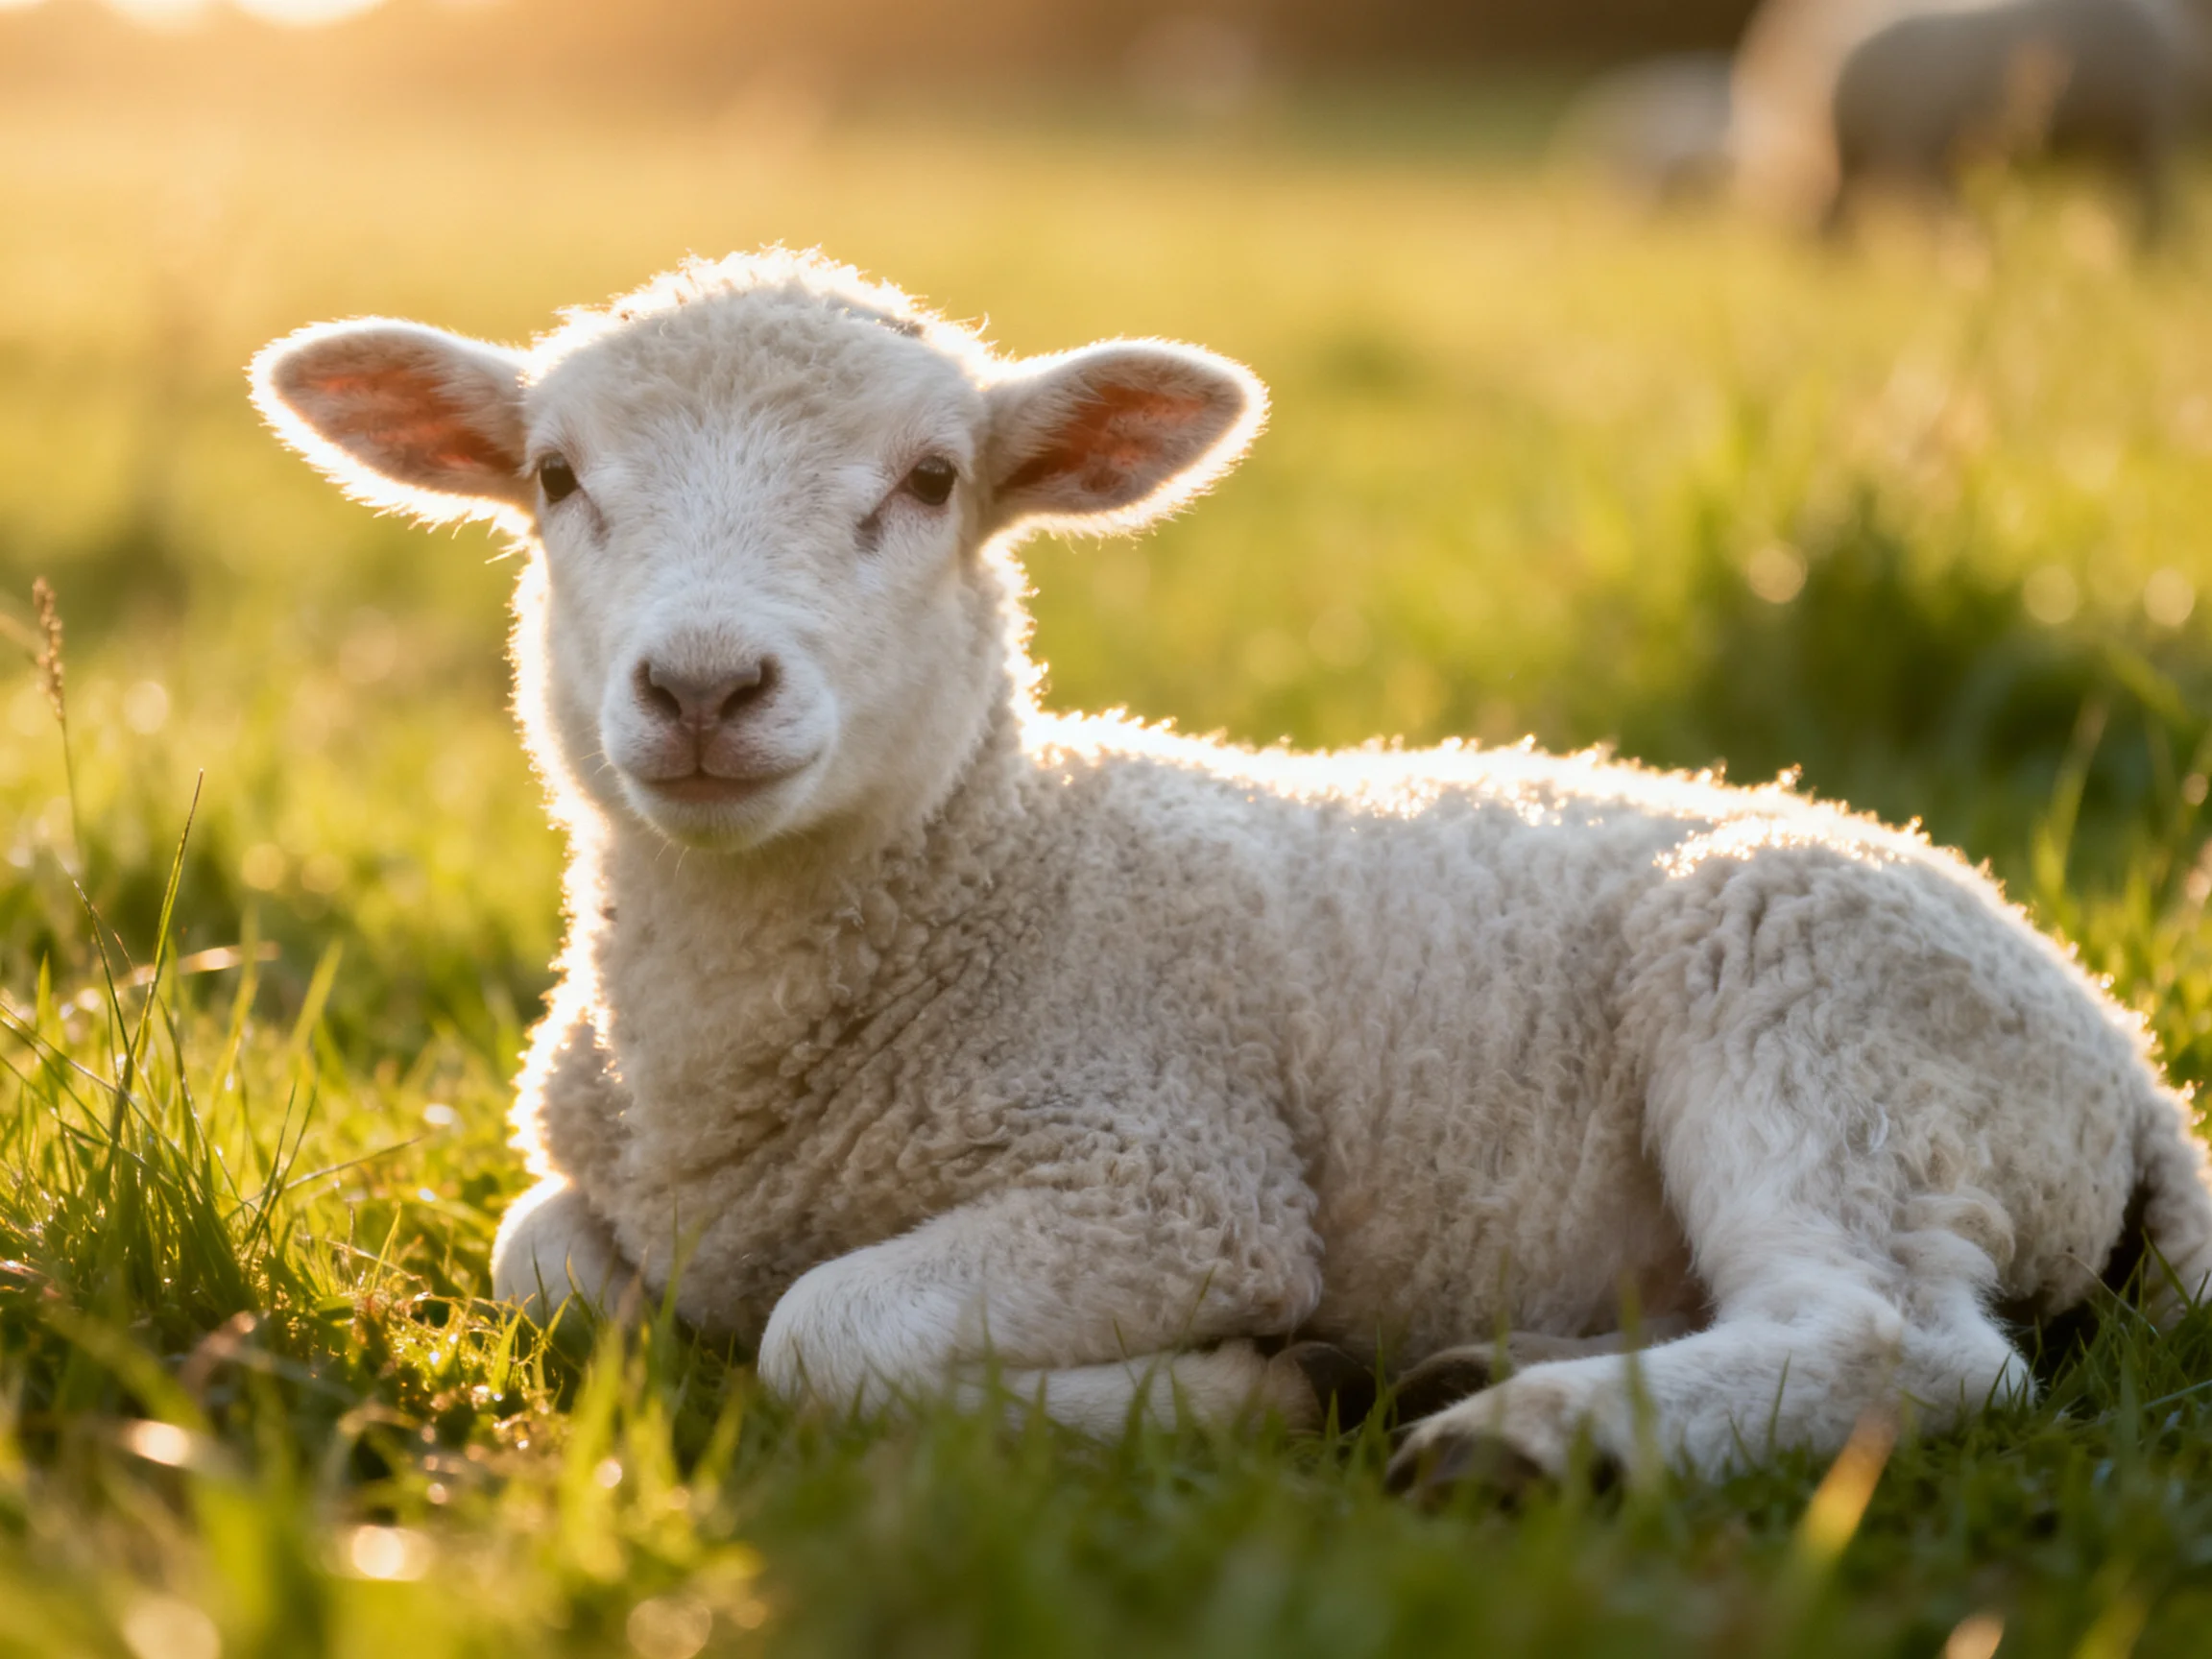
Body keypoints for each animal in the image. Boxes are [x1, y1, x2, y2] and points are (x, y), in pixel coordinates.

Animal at [250, 249, 2212, 1494]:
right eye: (554, 475)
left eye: (931, 477)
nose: (705, 686)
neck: (997, 870)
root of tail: (2122, 1055)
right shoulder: (604, 1198)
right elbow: (540, 1260)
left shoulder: (1169, 1178)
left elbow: (826, 1334)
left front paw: (1244, 1393)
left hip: (1820, 1010)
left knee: (1905, 1341)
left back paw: (1526, 1442)